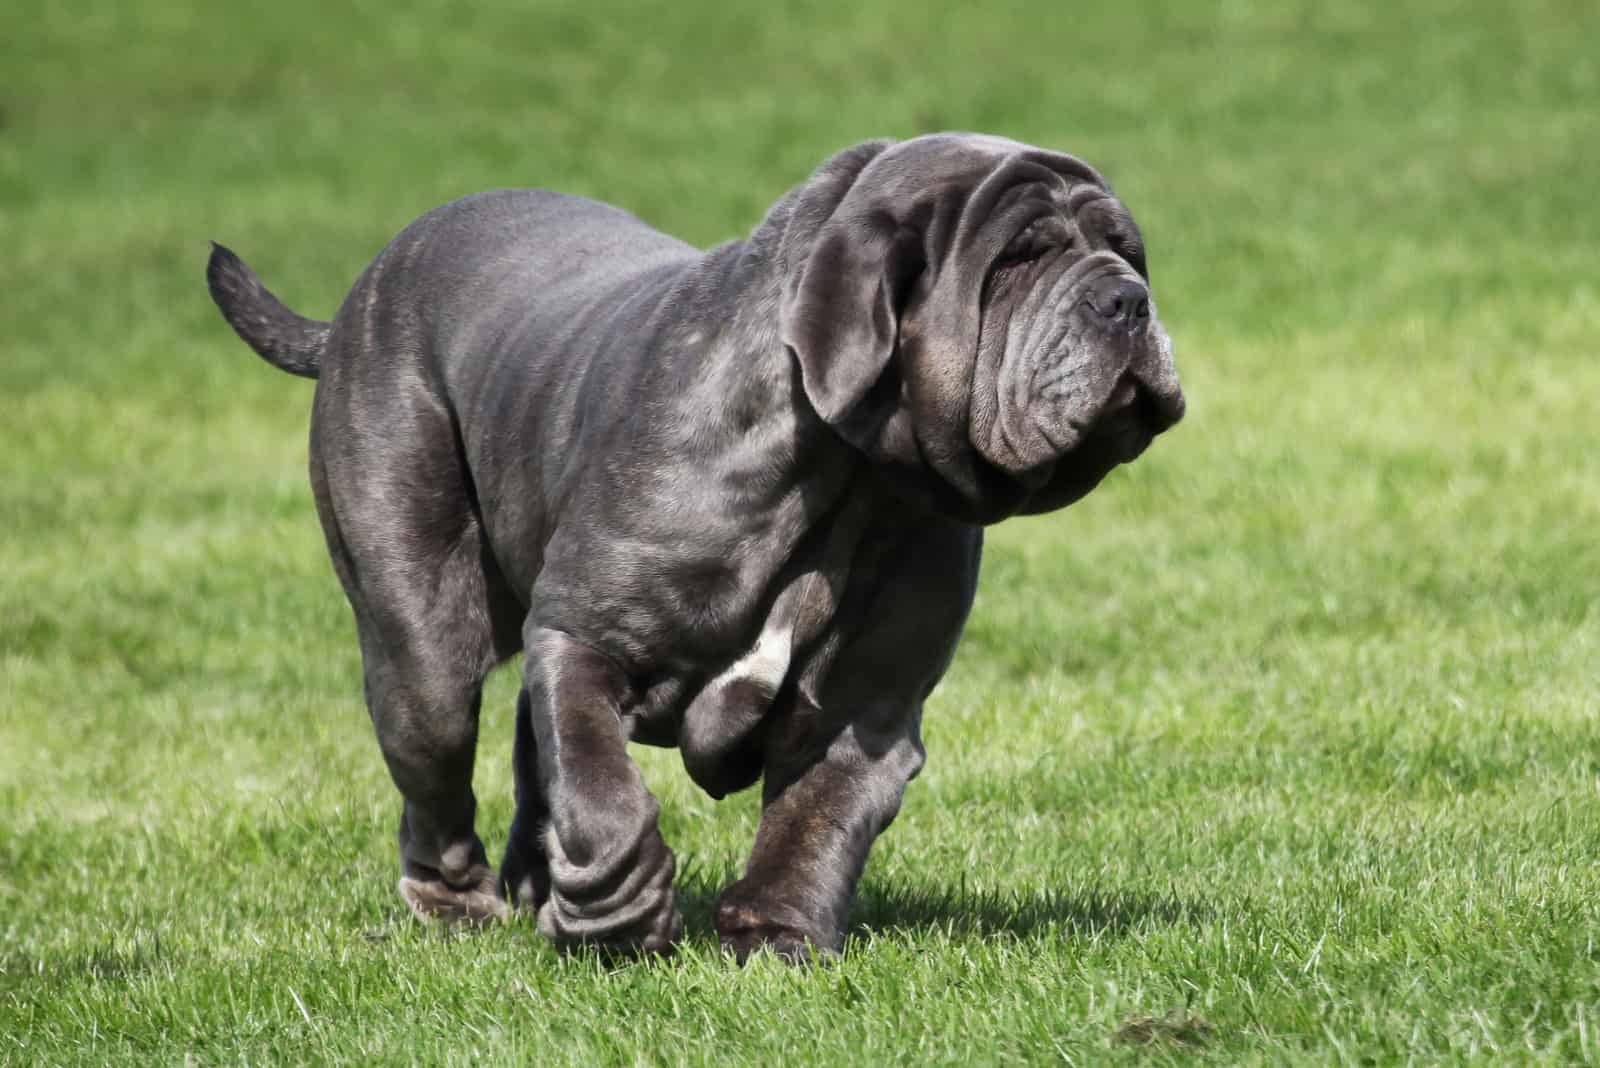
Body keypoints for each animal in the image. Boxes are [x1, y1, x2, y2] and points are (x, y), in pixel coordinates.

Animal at [209, 131, 1190, 959]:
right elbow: (600, 786)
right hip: (423, 653)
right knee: (442, 766)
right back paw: (461, 907)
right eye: (1019, 258)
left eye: (1128, 249)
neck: (854, 477)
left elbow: (815, 826)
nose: (1127, 297)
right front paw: (620, 913)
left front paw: (776, 935)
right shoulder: (585, 638)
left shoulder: (866, 709)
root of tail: (358, 298)